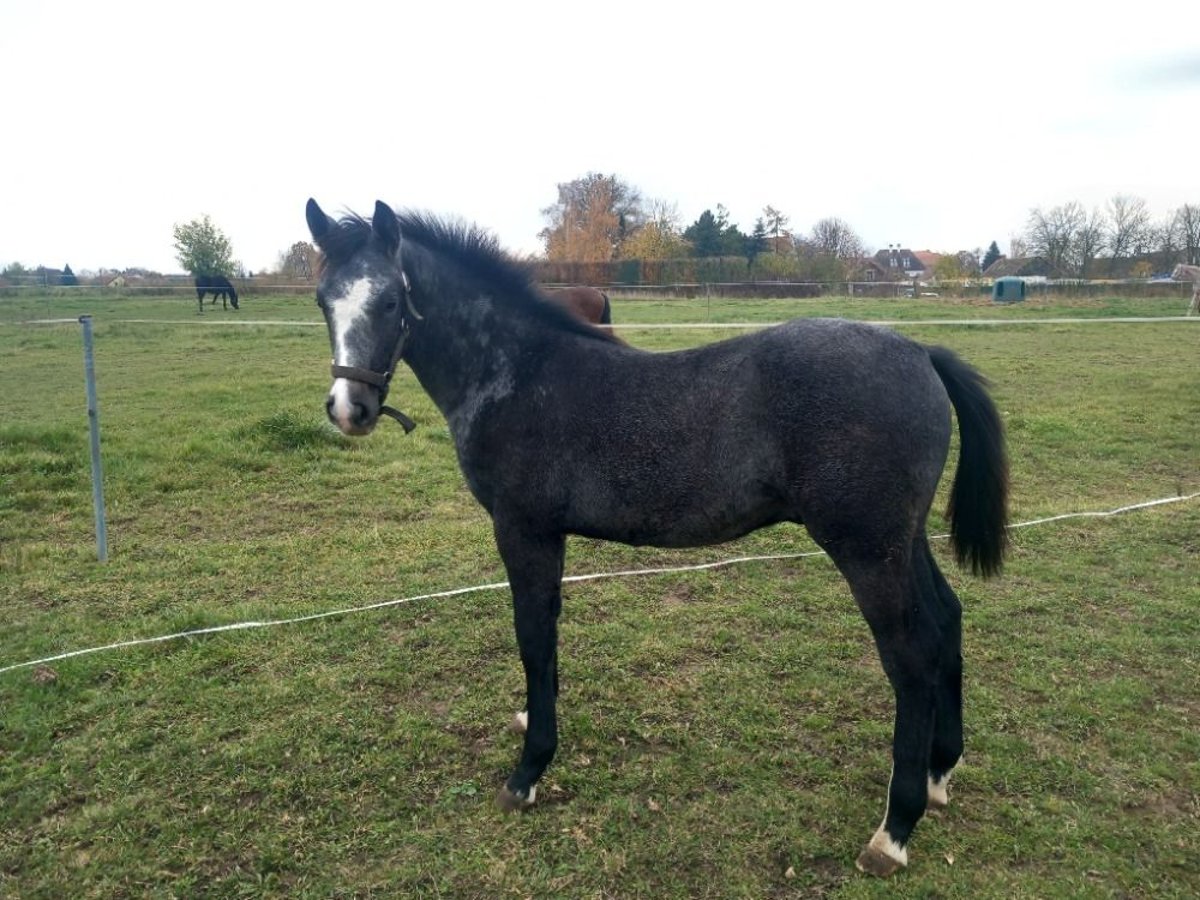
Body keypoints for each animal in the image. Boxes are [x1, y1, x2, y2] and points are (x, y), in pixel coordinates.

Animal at [304, 200, 1008, 878]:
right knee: (947, 621)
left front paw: (528, 772)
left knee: (911, 657)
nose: (348, 410)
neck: (517, 372)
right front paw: (536, 720)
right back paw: (940, 774)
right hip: (904, 542)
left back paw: (893, 832)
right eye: (322, 300)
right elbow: (548, 635)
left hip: (867, 550)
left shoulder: (524, 530)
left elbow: (532, 637)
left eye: (389, 301)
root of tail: (920, 353)